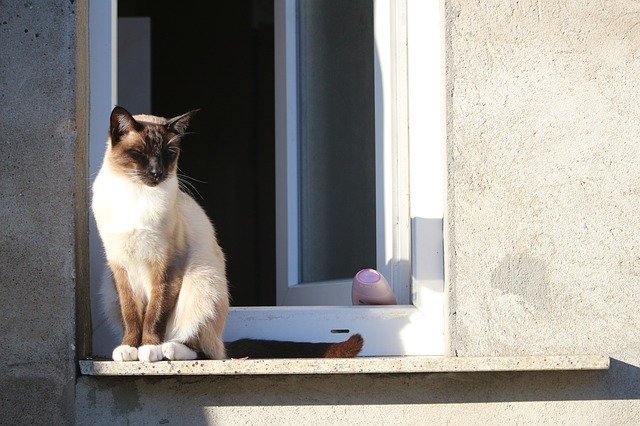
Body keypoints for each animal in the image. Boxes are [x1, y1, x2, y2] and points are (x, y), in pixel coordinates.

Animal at [92, 107, 362, 362]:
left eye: (168, 154)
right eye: (140, 153)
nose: (158, 173)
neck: (136, 195)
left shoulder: (167, 264)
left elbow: (155, 314)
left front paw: (149, 347)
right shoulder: (119, 266)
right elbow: (131, 314)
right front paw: (129, 348)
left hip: (200, 281)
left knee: (205, 350)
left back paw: (168, 348)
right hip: (108, 287)